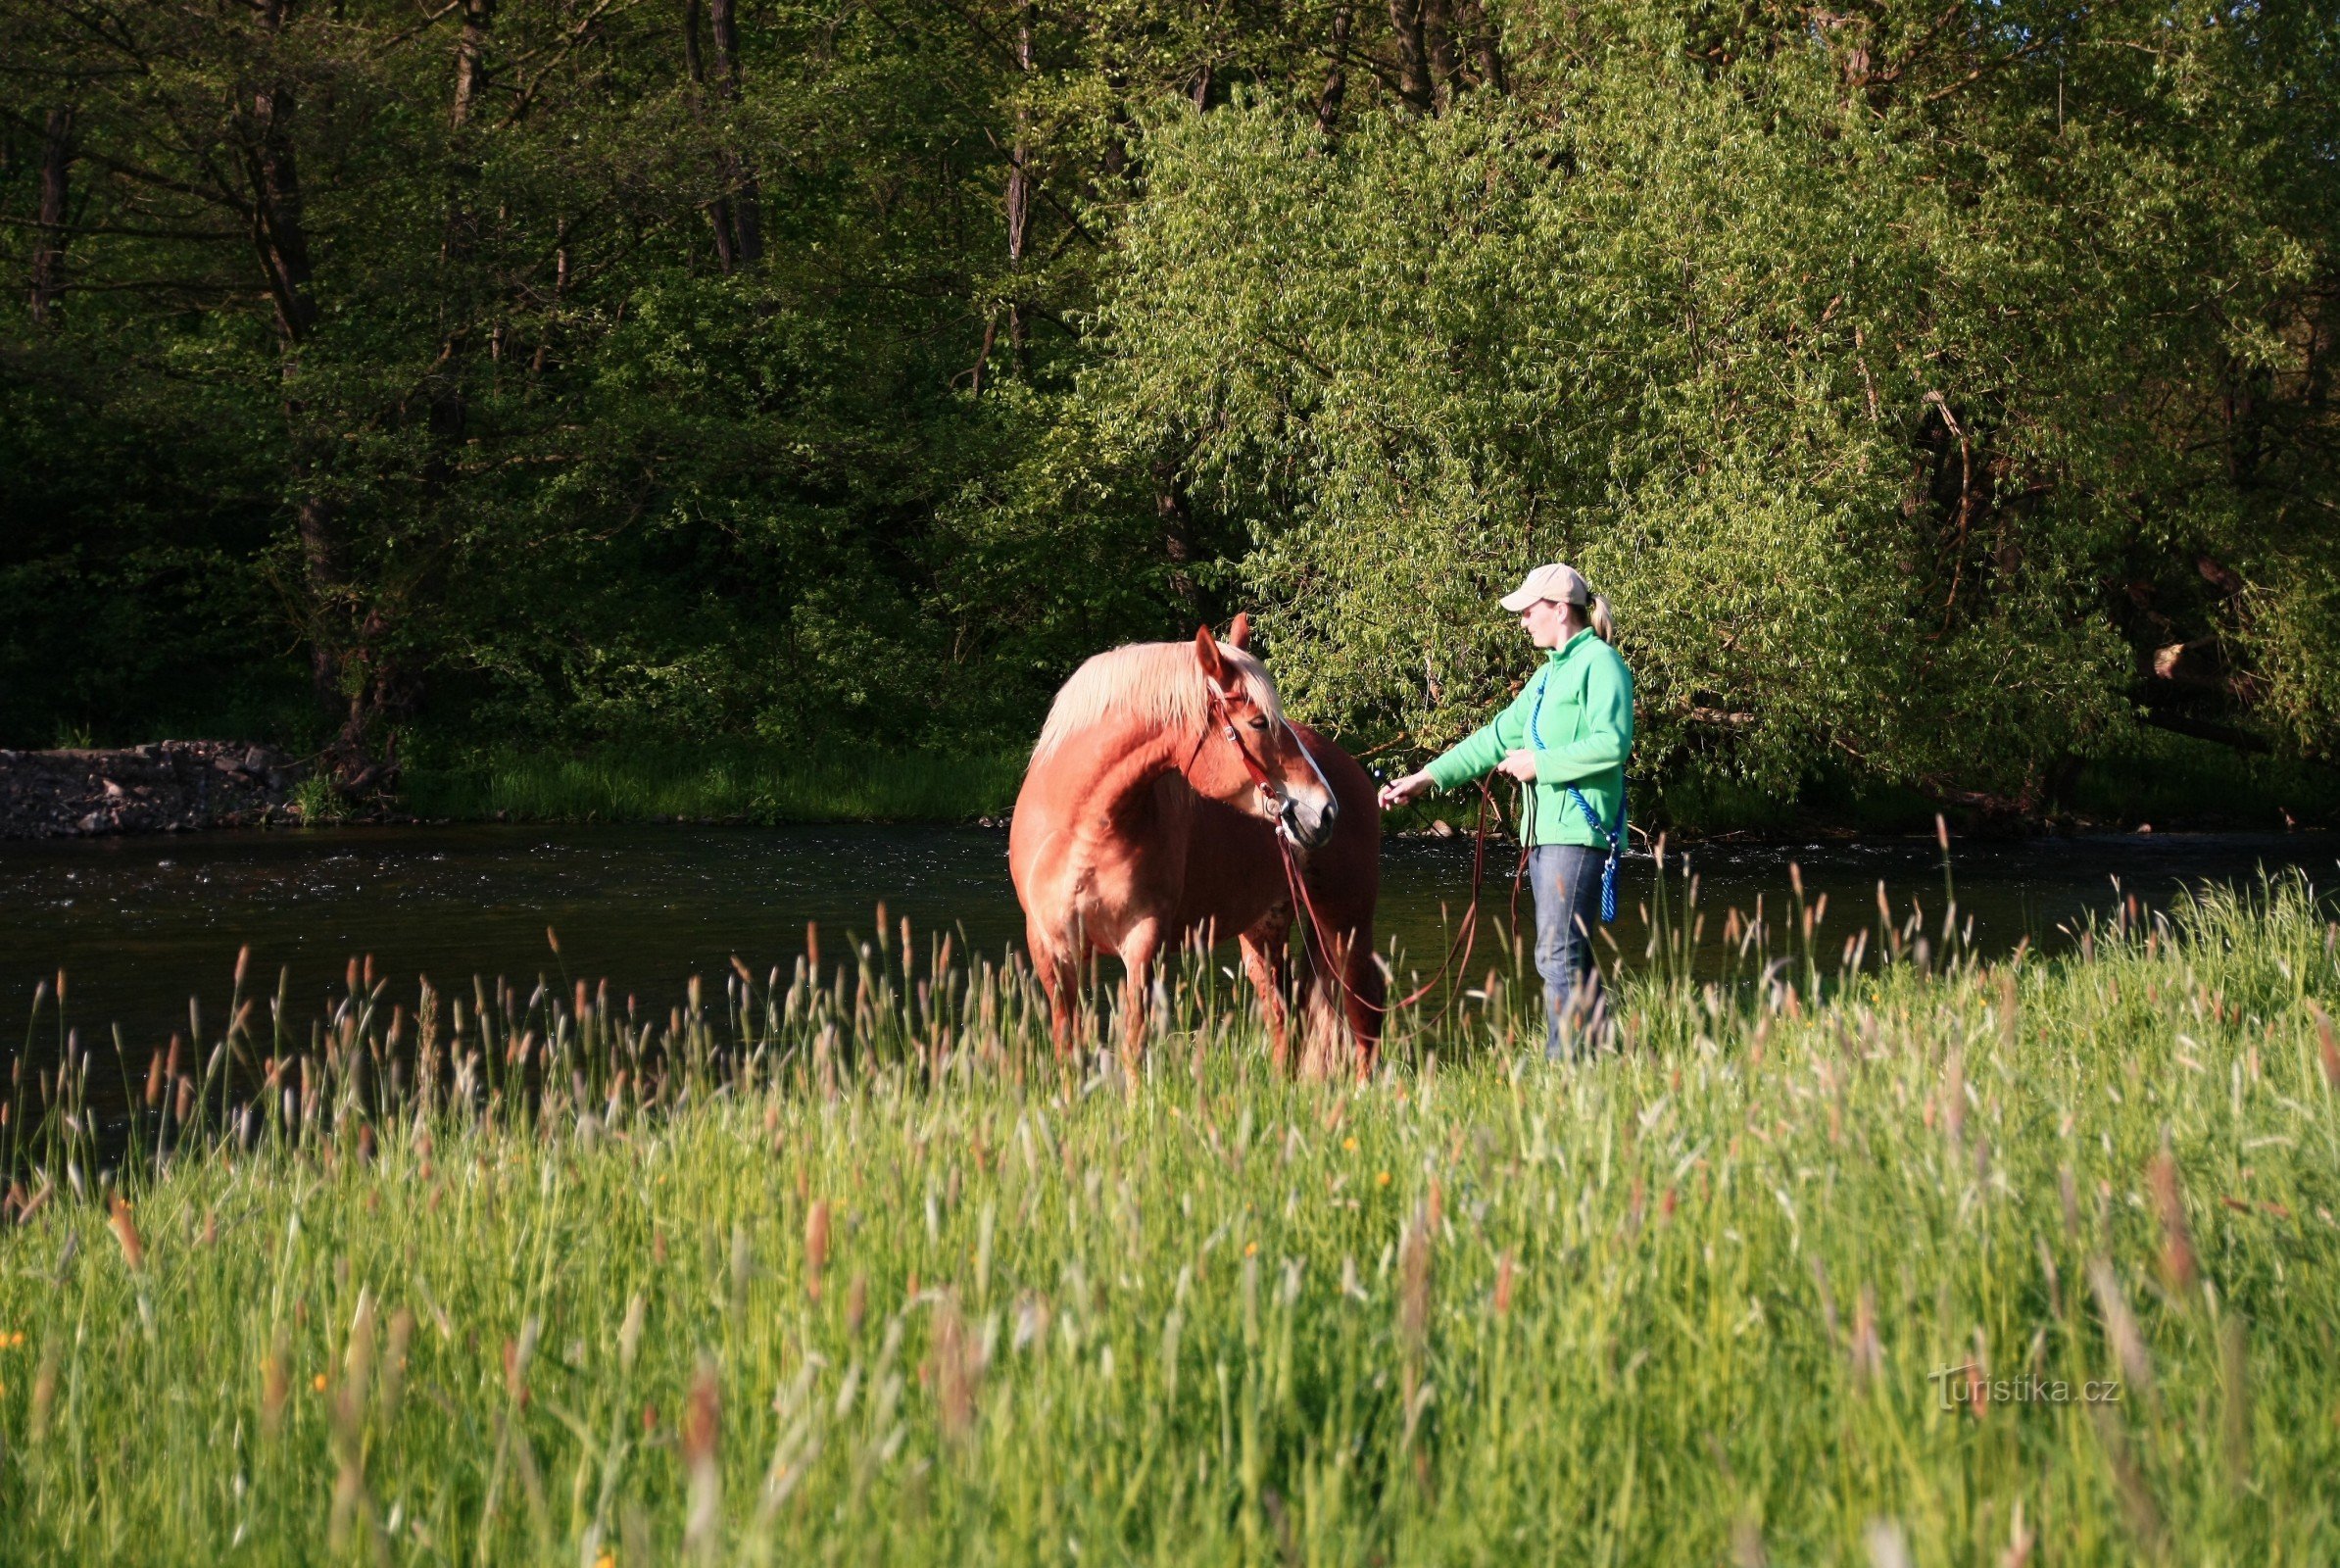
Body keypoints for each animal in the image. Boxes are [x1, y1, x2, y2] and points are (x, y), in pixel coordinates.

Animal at [1010, 612, 1376, 1081]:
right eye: (1258, 723)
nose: (1325, 811)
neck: (1080, 830)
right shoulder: (1051, 948)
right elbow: (1067, 1048)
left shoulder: (1143, 942)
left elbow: (1134, 1044)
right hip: (1265, 932)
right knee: (1285, 1018)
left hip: (1346, 927)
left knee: (1363, 1015)